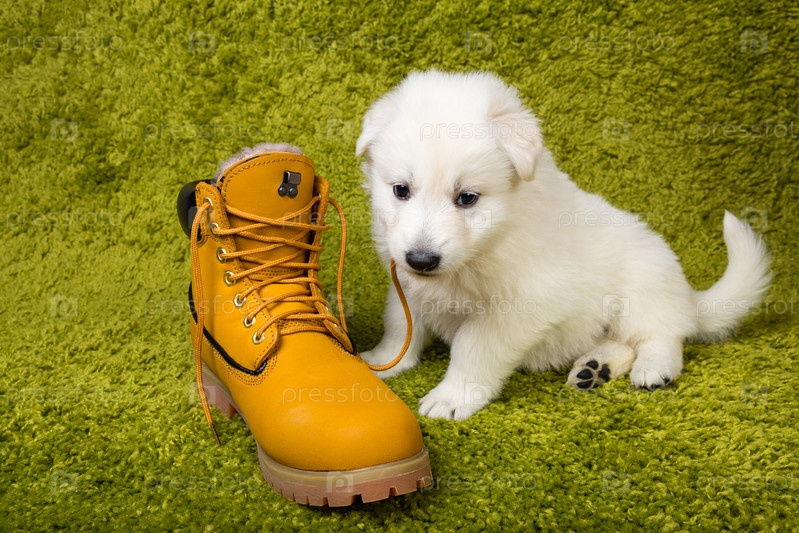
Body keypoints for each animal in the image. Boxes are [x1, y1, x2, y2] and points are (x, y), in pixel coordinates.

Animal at [355, 70, 771, 420]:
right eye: (401, 190)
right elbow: (399, 325)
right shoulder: (405, 283)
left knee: (662, 334)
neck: (489, 243)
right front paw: (382, 361)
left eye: (467, 198)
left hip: (642, 285)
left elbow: (474, 347)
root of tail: (688, 297)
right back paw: (595, 368)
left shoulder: (519, 307)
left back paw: (654, 368)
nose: (421, 259)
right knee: (623, 341)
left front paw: (452, 397)